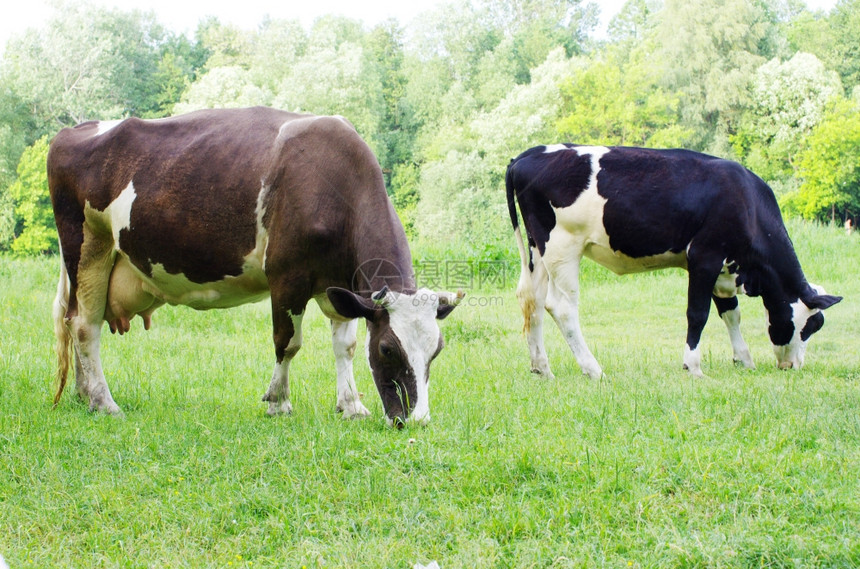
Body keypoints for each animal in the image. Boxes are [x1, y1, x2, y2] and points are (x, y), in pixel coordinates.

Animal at [47, 107, 464, 426]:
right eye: (388, 350)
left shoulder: (339, 285)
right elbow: (288, 342)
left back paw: (85, 394)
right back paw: (104, 402)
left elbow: (344, 346)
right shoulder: (287, 277)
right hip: (88, 246)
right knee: (84, 326)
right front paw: (278, 402)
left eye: (437, 351)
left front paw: (351, 405)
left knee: (76, 320)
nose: (417, 421)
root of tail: (75, 129)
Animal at [504, 144, 840, 380]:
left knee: (532, 301)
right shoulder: (705, 256)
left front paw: (743, 359)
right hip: (562, 247)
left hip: (537, 250)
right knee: (561, 308)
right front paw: (693, 366)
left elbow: (731, 314)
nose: (793, 366)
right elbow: (698, 314)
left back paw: (542, 367)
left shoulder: (724, 269)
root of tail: (528, 154)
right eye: (810, 327)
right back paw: (593, 369)